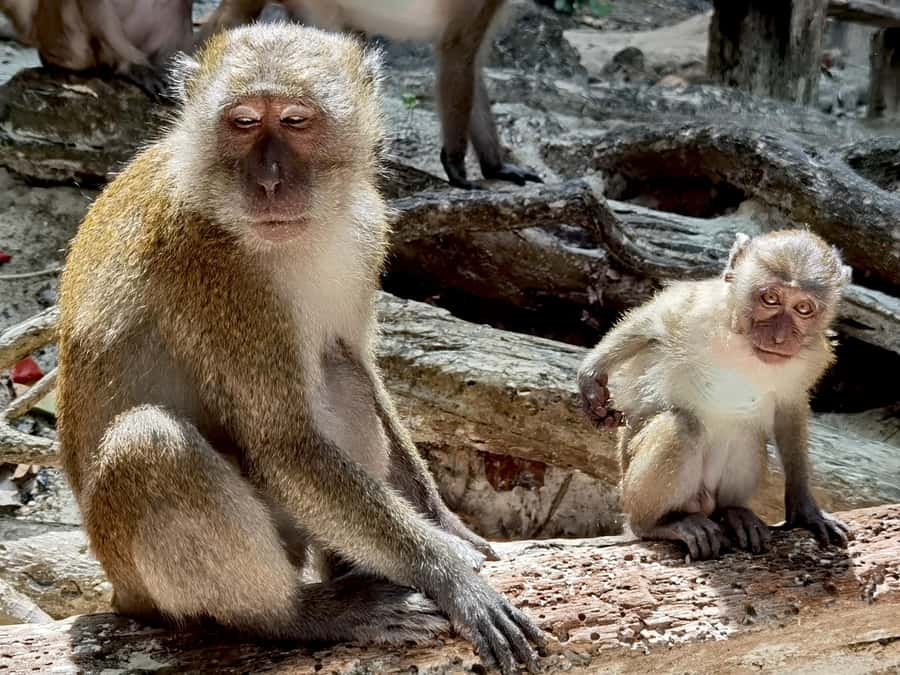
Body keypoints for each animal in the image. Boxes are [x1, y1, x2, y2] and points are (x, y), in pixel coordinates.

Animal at [55, 24, 545, 674]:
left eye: (293, 120)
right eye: (242, 122)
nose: (268, 181)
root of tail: (119, 592)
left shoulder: (366, 231)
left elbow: (361, 365)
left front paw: (447, 524)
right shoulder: (212, 270)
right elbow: (285, 444)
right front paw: (447, 573)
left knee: (340, 372)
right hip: (142, 581)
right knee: (151, 445)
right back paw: (293, 615)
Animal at [577, 230, 854, 560]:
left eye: (803, 308)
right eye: (771, 299)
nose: (779, 337)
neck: (746, 347)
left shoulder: (808, 358)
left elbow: (790, 412)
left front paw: (805, 509)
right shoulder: (701, 308)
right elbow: (654, 320)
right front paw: (591, 378)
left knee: (745, 434)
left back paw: (731, 513)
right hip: (631, 489)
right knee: (681, 428)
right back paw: (658, 523)